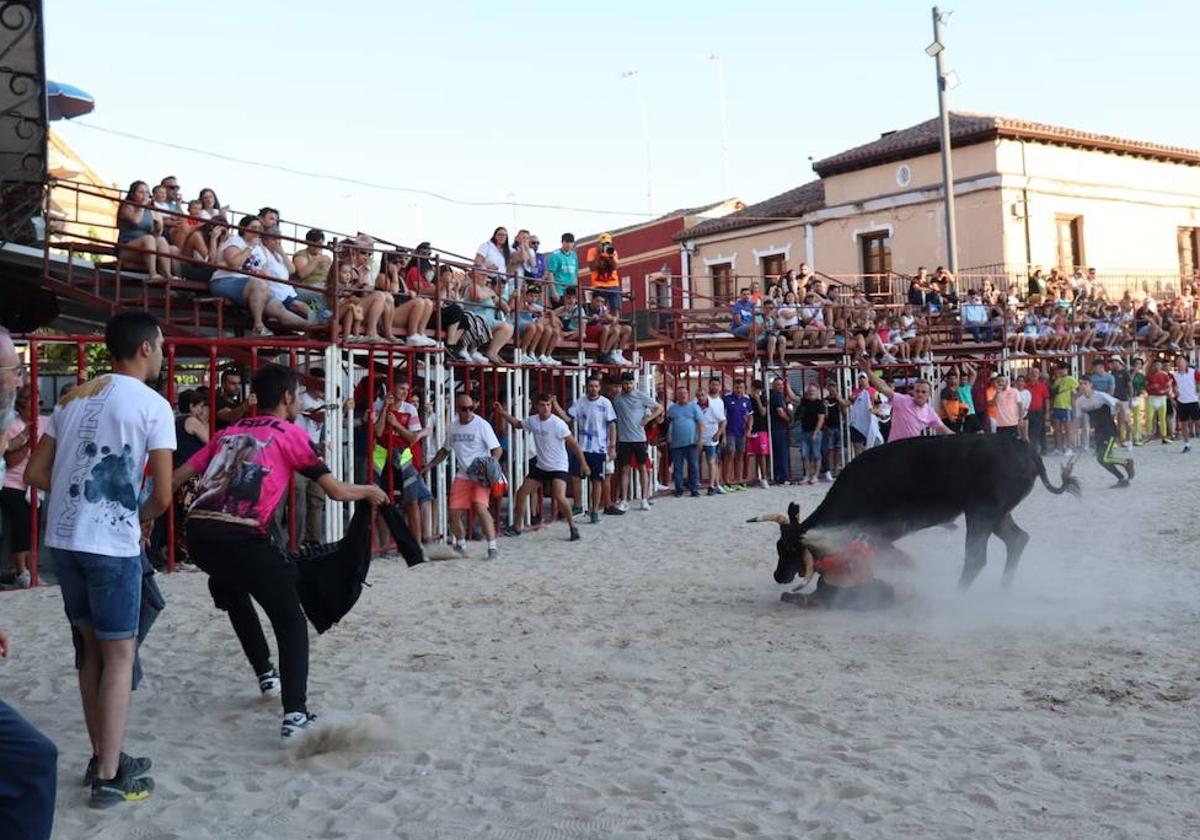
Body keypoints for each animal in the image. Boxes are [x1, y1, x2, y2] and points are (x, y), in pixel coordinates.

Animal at [758, 436, 1080, 588]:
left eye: (788, 547)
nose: (778, 575)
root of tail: (1029, 452)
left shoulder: (880, 533)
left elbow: (895, 558)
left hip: (981, 513)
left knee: (976, 557)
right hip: (996, 514)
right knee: (1017, 539)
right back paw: (1003, 590)